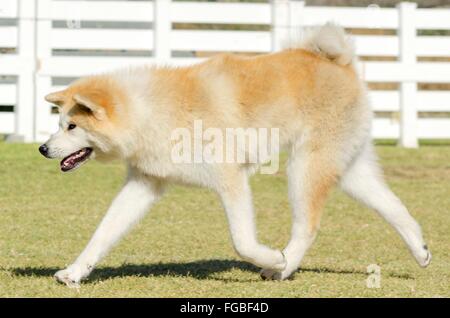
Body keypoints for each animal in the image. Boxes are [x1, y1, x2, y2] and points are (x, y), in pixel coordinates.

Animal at [38, 22, 428, 286]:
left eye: (71, 127)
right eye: (58, 124)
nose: (43, 148)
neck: (154, 111)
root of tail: (337, 61)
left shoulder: (231, 179)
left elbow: (242, 241)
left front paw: (272, 257)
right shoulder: (145, 183)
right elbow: (102, 234)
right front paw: (75, 272)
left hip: (306, 167)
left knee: (307, 226)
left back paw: (283, 266)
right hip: (349, 168)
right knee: (395, 207)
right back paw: (420, 248)